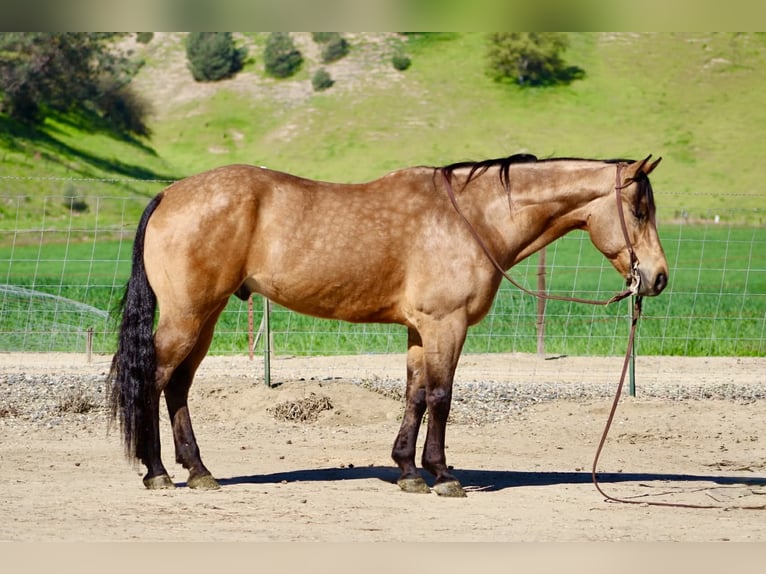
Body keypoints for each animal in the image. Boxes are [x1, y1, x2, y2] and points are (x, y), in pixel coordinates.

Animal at [108, 153, 668, 497]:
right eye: (640, 209)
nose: (658, 277)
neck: (472, 218)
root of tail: (169, 194)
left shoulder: (421, 331)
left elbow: (415, 395)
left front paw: (407, 470)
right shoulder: (446, 325)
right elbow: (441, 396)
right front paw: (442, 475)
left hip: (205, 318)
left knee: (178, 386)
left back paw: (199, 471)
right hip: (188, 316)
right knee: (153, 380)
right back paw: (157, 472)